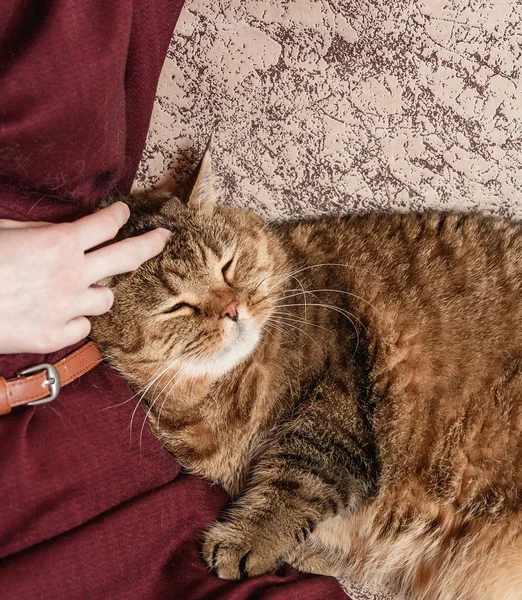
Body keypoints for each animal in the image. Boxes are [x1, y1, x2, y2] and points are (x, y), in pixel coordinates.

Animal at [91, 152, 520, 596]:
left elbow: (296, 481)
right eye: (178, 306)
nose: (231, 309)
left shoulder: (337, 409)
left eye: (227, 266)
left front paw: (248, 540)